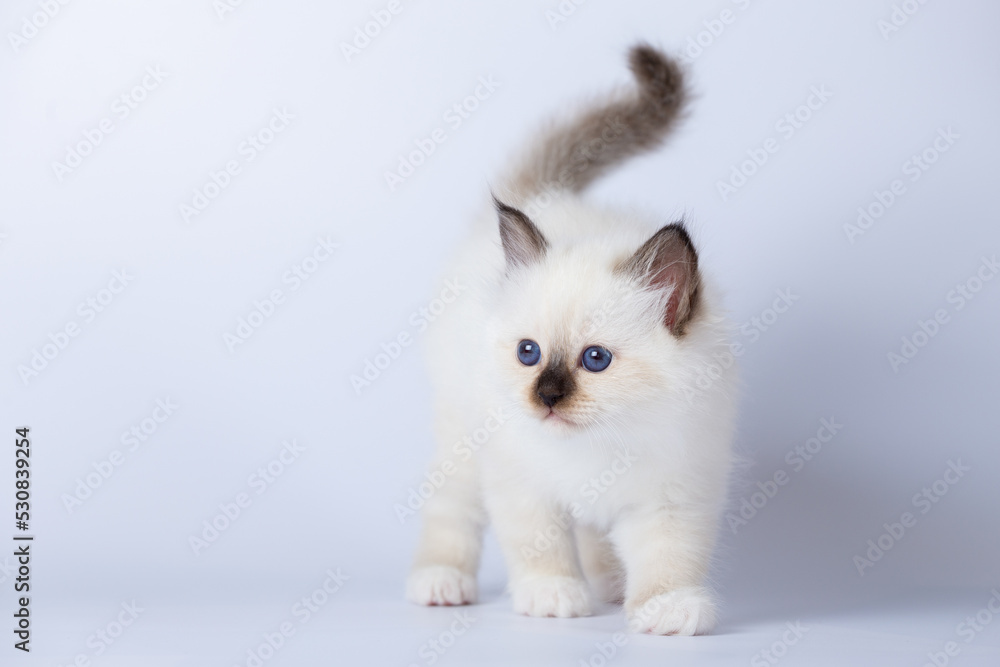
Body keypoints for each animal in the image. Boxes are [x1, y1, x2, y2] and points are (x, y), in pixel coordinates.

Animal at [402, 44, 740, 640]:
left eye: (595, 359)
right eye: (528, 353)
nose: (547, 397)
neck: (596, 447)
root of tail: (545, 196)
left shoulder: (671, 494)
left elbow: (668, 558)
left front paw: (666, 610)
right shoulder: (520, 483)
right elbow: (540, 546)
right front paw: (552, 597)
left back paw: (609, 584)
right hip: (462, 438)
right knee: (452, 509)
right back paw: (441, 582)